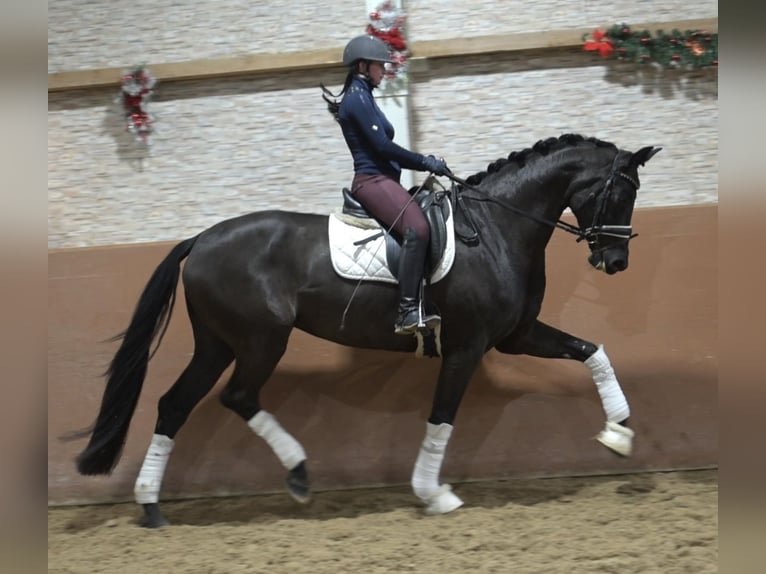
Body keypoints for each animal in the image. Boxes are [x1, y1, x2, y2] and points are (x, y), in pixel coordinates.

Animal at [74, 133, 661, 527]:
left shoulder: (515, 335)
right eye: (623, 191)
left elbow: (592, 351)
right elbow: (442, 418)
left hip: (218, 343)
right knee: (237, 396)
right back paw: (296, 473)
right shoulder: (468, 346)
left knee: (175, 405)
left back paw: (153, 506)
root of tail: (201, 239)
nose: (617, 262)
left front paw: (619, 433)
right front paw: (433, 493)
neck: (496, 229)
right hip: (260, 340)